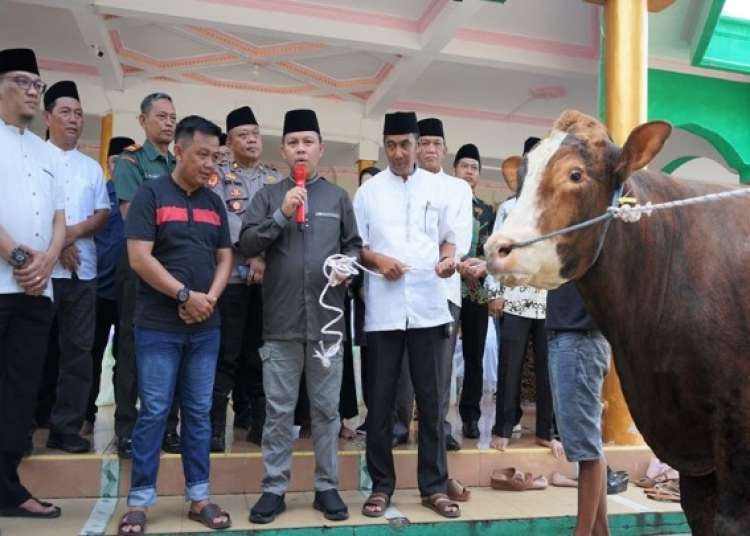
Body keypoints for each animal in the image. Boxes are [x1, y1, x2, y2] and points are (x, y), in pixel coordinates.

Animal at [488, 110, 750, 536]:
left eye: (575, 174)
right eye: (523, 176)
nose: (497, 248)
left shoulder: (736, 429)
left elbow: (729, 520)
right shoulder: (690, 449)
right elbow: (699, 513)